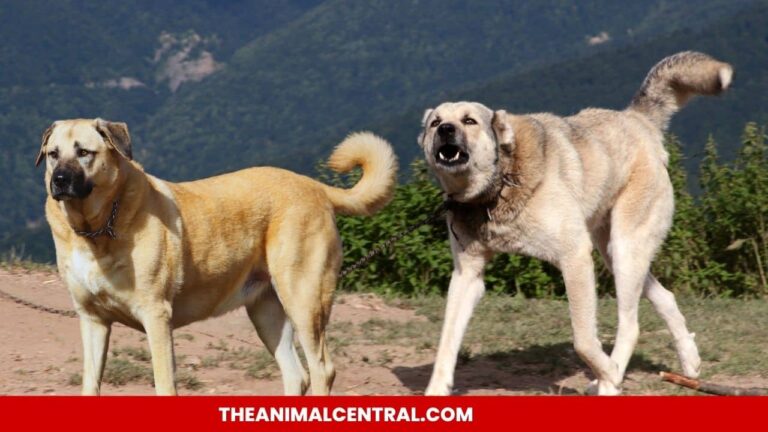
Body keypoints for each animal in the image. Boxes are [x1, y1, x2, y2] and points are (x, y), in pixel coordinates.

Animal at [35, 120, 396, 396]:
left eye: (84, 152)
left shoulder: (156, 316)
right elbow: (90, 384)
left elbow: (164, 384)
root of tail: (315, 187)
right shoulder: (93, 320)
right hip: (266, 313)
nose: (59, 180)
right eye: (53, 154)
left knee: (322, 369)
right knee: (297, 374)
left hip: (304, 301)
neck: (96, 231)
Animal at [420, 51, 732, 394]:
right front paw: (435, 392)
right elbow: (446, 343)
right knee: (665, 297)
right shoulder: (467, 277)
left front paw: (609, 373)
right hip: (614, 253)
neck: (499, 186)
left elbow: (583, 339)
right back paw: (689, 361)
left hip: (624, 249)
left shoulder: (575, 257)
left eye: (469, 121)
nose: (445, 130)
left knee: (631, 325)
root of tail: (636, 119)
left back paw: (610, 383)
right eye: (435, 122)